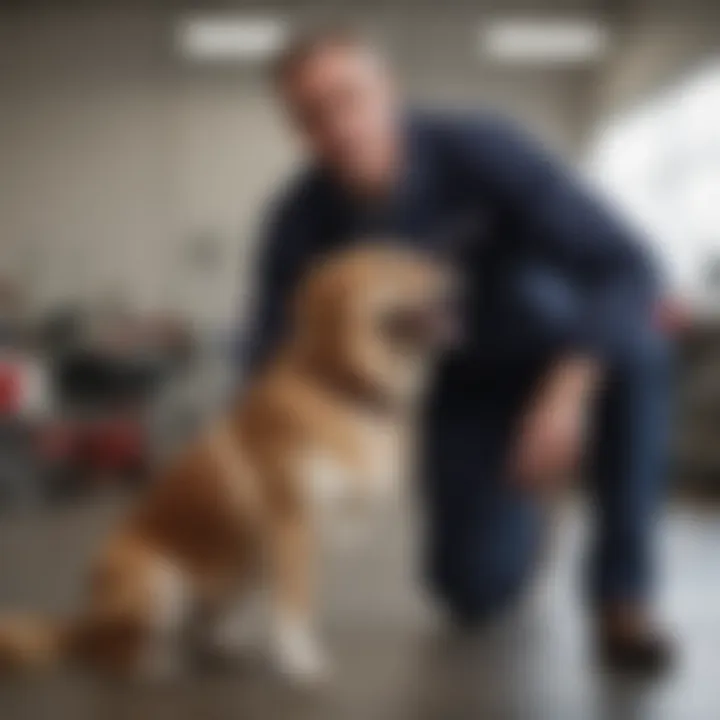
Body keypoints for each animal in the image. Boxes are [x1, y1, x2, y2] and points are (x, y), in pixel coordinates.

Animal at [0, 243, 458, 688]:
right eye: (390, 265)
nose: (450, 275)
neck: (337, 385)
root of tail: (83, 622)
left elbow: (299, 599)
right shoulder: (292, 524)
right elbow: (294, 604)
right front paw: (299, 662)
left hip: (238, 575)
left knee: (195, 629)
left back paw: (221, 646)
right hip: (151, 579)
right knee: (112, 652)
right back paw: (156, 665)